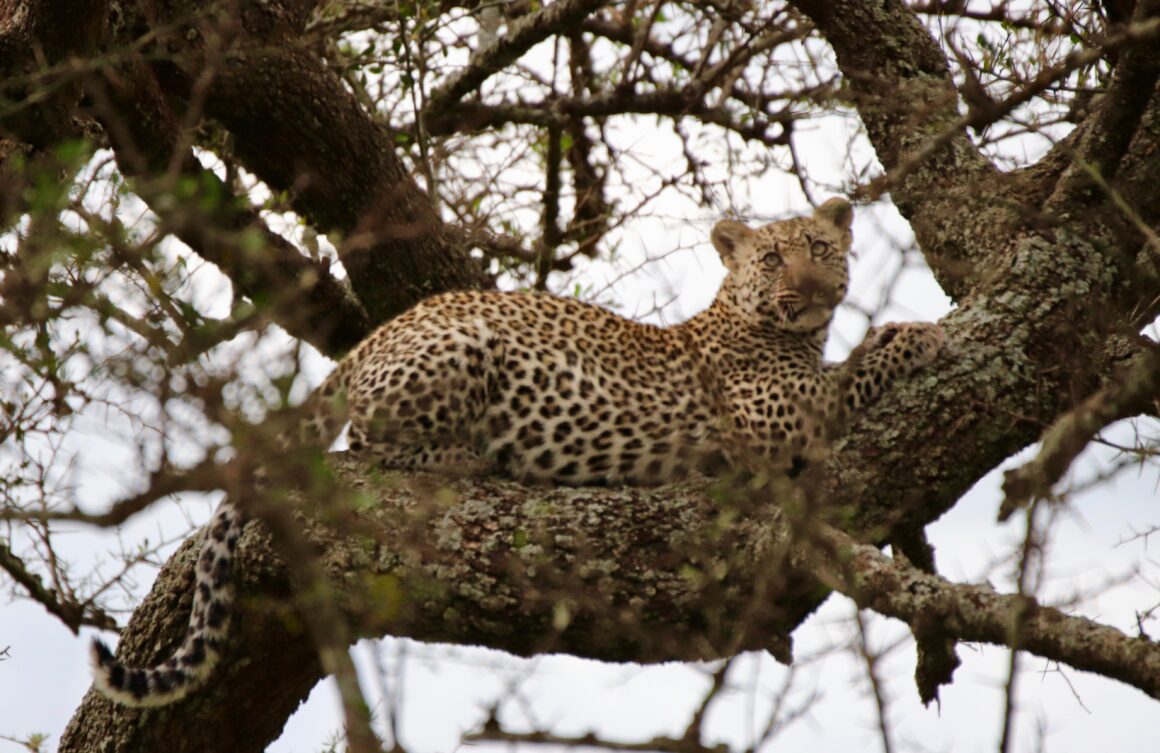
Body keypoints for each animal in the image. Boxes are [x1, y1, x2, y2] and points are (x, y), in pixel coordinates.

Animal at [90, 197, 944, 705]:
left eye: (819, 247)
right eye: (772, 260)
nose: (814, 290)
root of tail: (370, 339)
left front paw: (899, 331)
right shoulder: (779, 417)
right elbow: (860, 365)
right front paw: (919, 335)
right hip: (460, 351)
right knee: (369, 448)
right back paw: (470, 459)